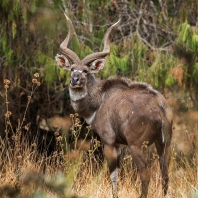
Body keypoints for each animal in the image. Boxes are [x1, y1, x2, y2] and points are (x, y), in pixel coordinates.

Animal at [55, 13, 172, 197]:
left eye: (86, 71)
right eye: (72, 68)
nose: (75, 80)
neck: (100, 101)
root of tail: (160, 108)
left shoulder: (109, 141)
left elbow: (113, 176)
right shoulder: (118, 144)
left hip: (136, 145)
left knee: (145, 172)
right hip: (164, 144)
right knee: (165, 173)